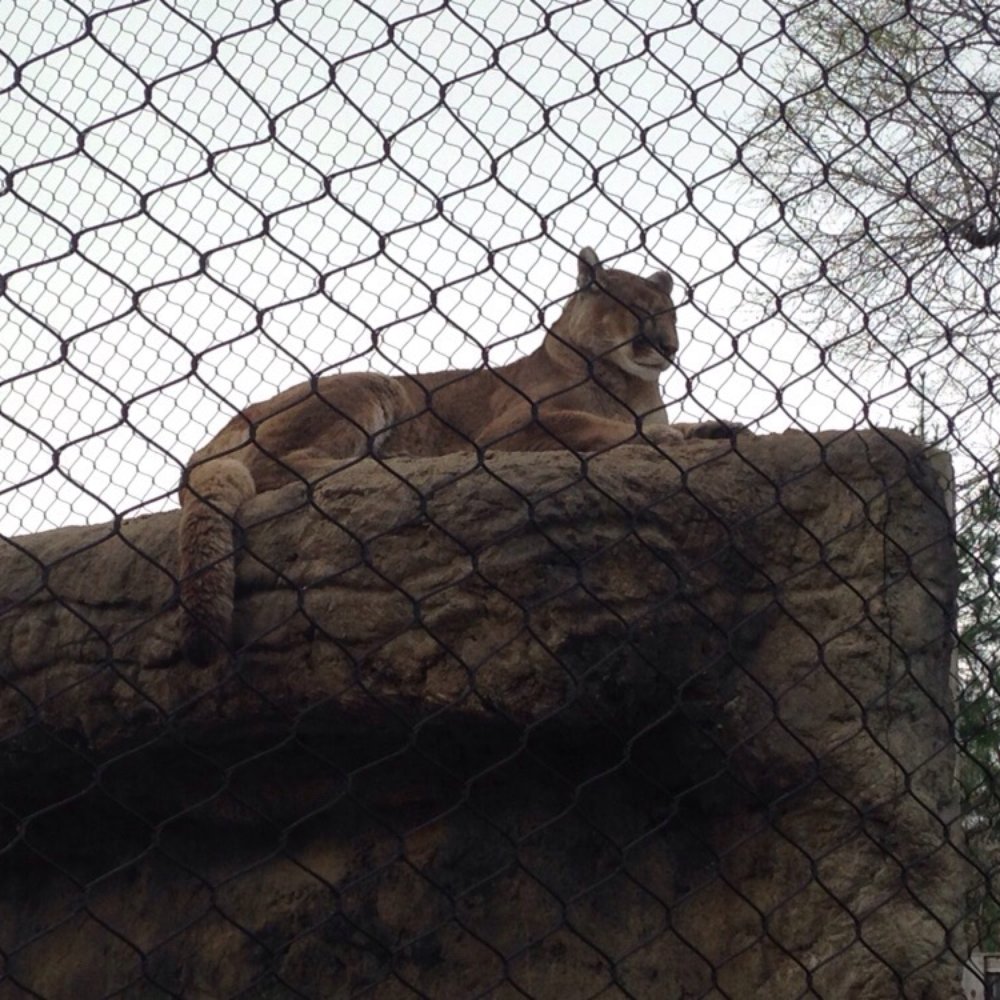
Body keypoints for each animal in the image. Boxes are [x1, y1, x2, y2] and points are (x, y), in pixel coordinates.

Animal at [178, 246, 731, 664]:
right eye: (638, 311)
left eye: (672, 313)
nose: (669, 347)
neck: (630, 384)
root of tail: (227, 424)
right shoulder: (514, 426)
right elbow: (594, 424)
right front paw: (666, 438)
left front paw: (709, 426)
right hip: (371, 384)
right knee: (275, 466)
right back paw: (394, 462)